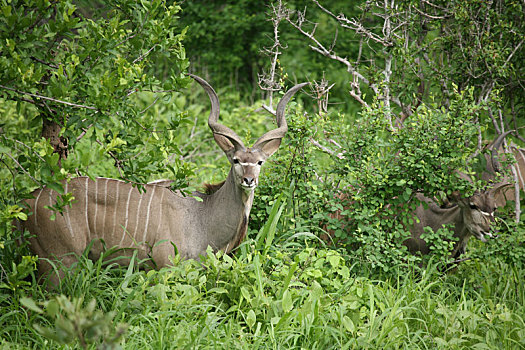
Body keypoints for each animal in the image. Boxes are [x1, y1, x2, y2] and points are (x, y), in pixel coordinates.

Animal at [23, 74, 308, 282]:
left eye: (260, 162)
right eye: (235, 160)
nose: (249, 180)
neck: (202, 215)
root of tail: (28, 202)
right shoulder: (166, 267)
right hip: (61, 262)